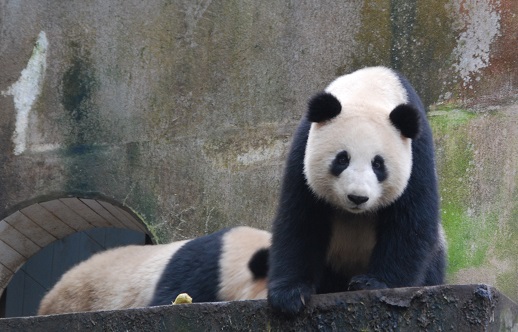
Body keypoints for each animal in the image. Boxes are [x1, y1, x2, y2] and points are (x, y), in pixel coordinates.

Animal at [268, 66, 446, 316]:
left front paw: (374, 283)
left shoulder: (417, 152)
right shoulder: (303, 148)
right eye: (342, 159)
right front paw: (290, 295)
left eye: (378, 164)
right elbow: (301, 218)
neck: (368, 91)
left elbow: (411, 219)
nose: (357, 197)